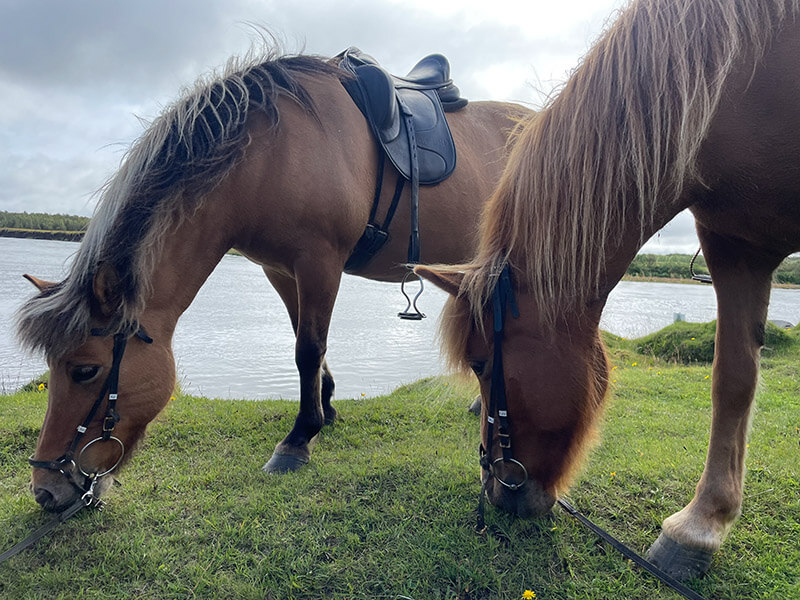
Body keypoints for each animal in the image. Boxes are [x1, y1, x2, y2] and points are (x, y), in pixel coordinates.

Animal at [15, 49, 528, 510]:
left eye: (85, 370)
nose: (46, 490)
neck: (269, 156)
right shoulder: (280, 269)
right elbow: (305, 343)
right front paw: (325, 410)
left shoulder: (319, 261)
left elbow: (308, 349)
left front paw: (298, 440)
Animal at [418, 0, 800, 584]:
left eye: (483, 365)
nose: (496, 497)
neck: (741, 84)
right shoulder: (736, 245)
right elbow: (732, 381)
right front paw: (700, 528)